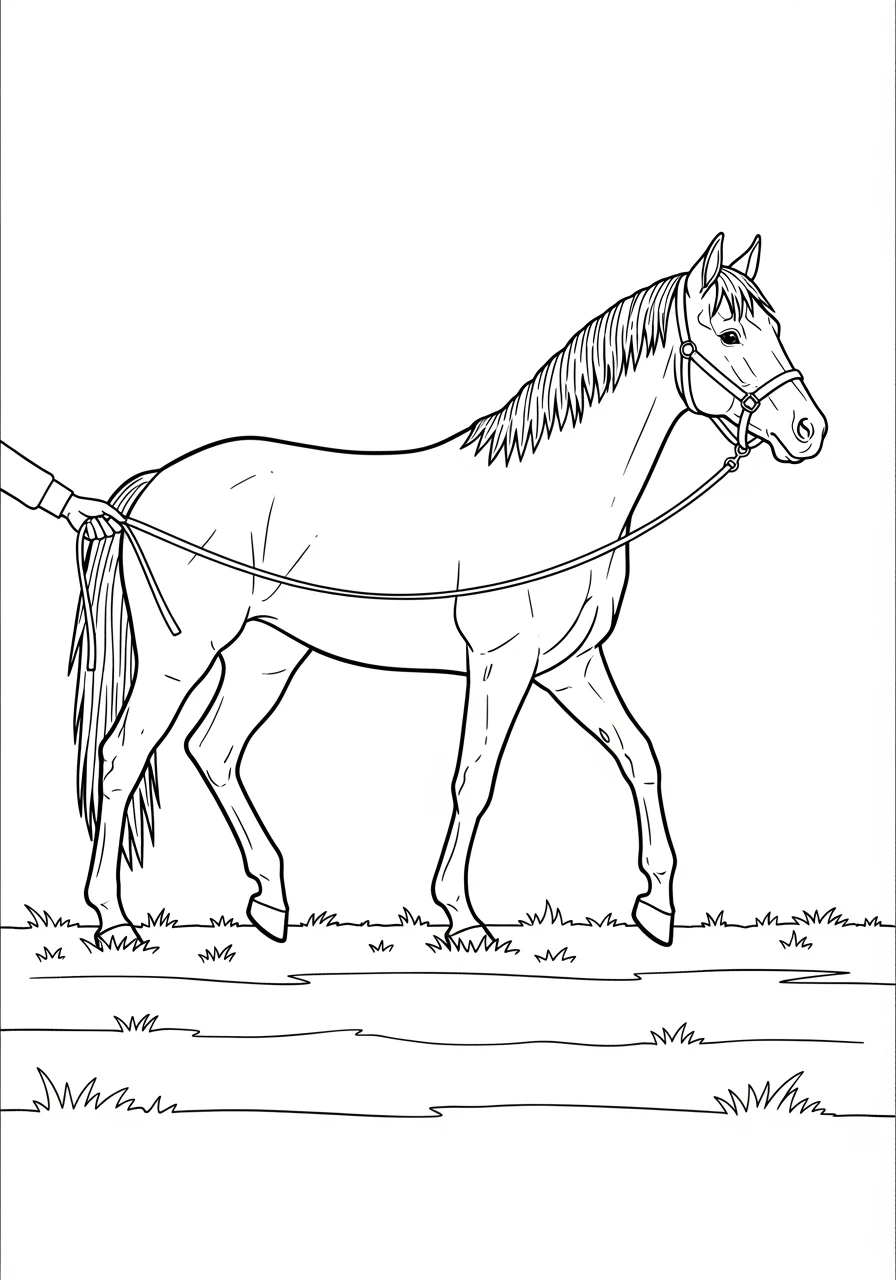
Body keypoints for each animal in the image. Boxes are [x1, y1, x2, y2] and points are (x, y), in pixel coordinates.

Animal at [71, 233, 827, 949]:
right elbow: (475, 778)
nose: (808, 430)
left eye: (774, 325)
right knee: (122, 757)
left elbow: (641, 758)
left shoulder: (572, 666)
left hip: (267, 655)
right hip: (182, 653)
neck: (554, 496)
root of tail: (151, 490)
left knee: (215, 751)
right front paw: (462, 916)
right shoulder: (501, 662)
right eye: (729, 335)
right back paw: (114, 918)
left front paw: (657, 904)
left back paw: (271, 901)